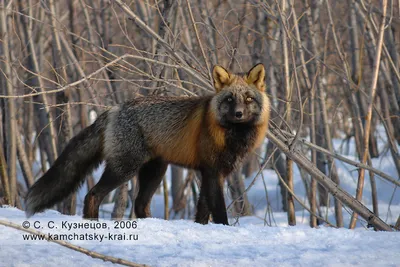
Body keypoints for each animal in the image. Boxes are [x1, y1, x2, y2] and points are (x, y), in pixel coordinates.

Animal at [24, 63, 268, 225]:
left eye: (248, 99)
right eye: (229, 99)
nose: (238, 114)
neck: (232, 136)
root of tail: (114, 108)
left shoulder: (214, 173)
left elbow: (202, 212)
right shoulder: (211, 172)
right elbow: (219, 211)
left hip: (155, 171)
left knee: (140, 204)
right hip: (125, 168)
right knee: (93, 194)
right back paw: (93, 223)